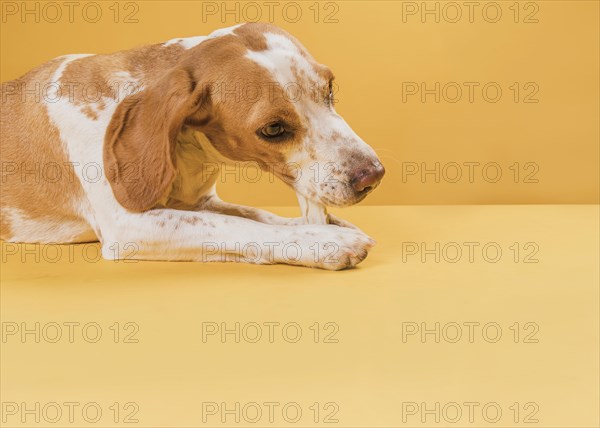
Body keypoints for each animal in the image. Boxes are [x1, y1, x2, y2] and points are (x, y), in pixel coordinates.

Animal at [1, 23, 384, 270]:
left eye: (329, 89)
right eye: (273, 129)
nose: (374, 175)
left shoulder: (201, 202)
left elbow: (257, 215)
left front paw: (321, 226)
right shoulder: (127, 225)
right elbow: (239, 227)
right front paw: (325, 242)